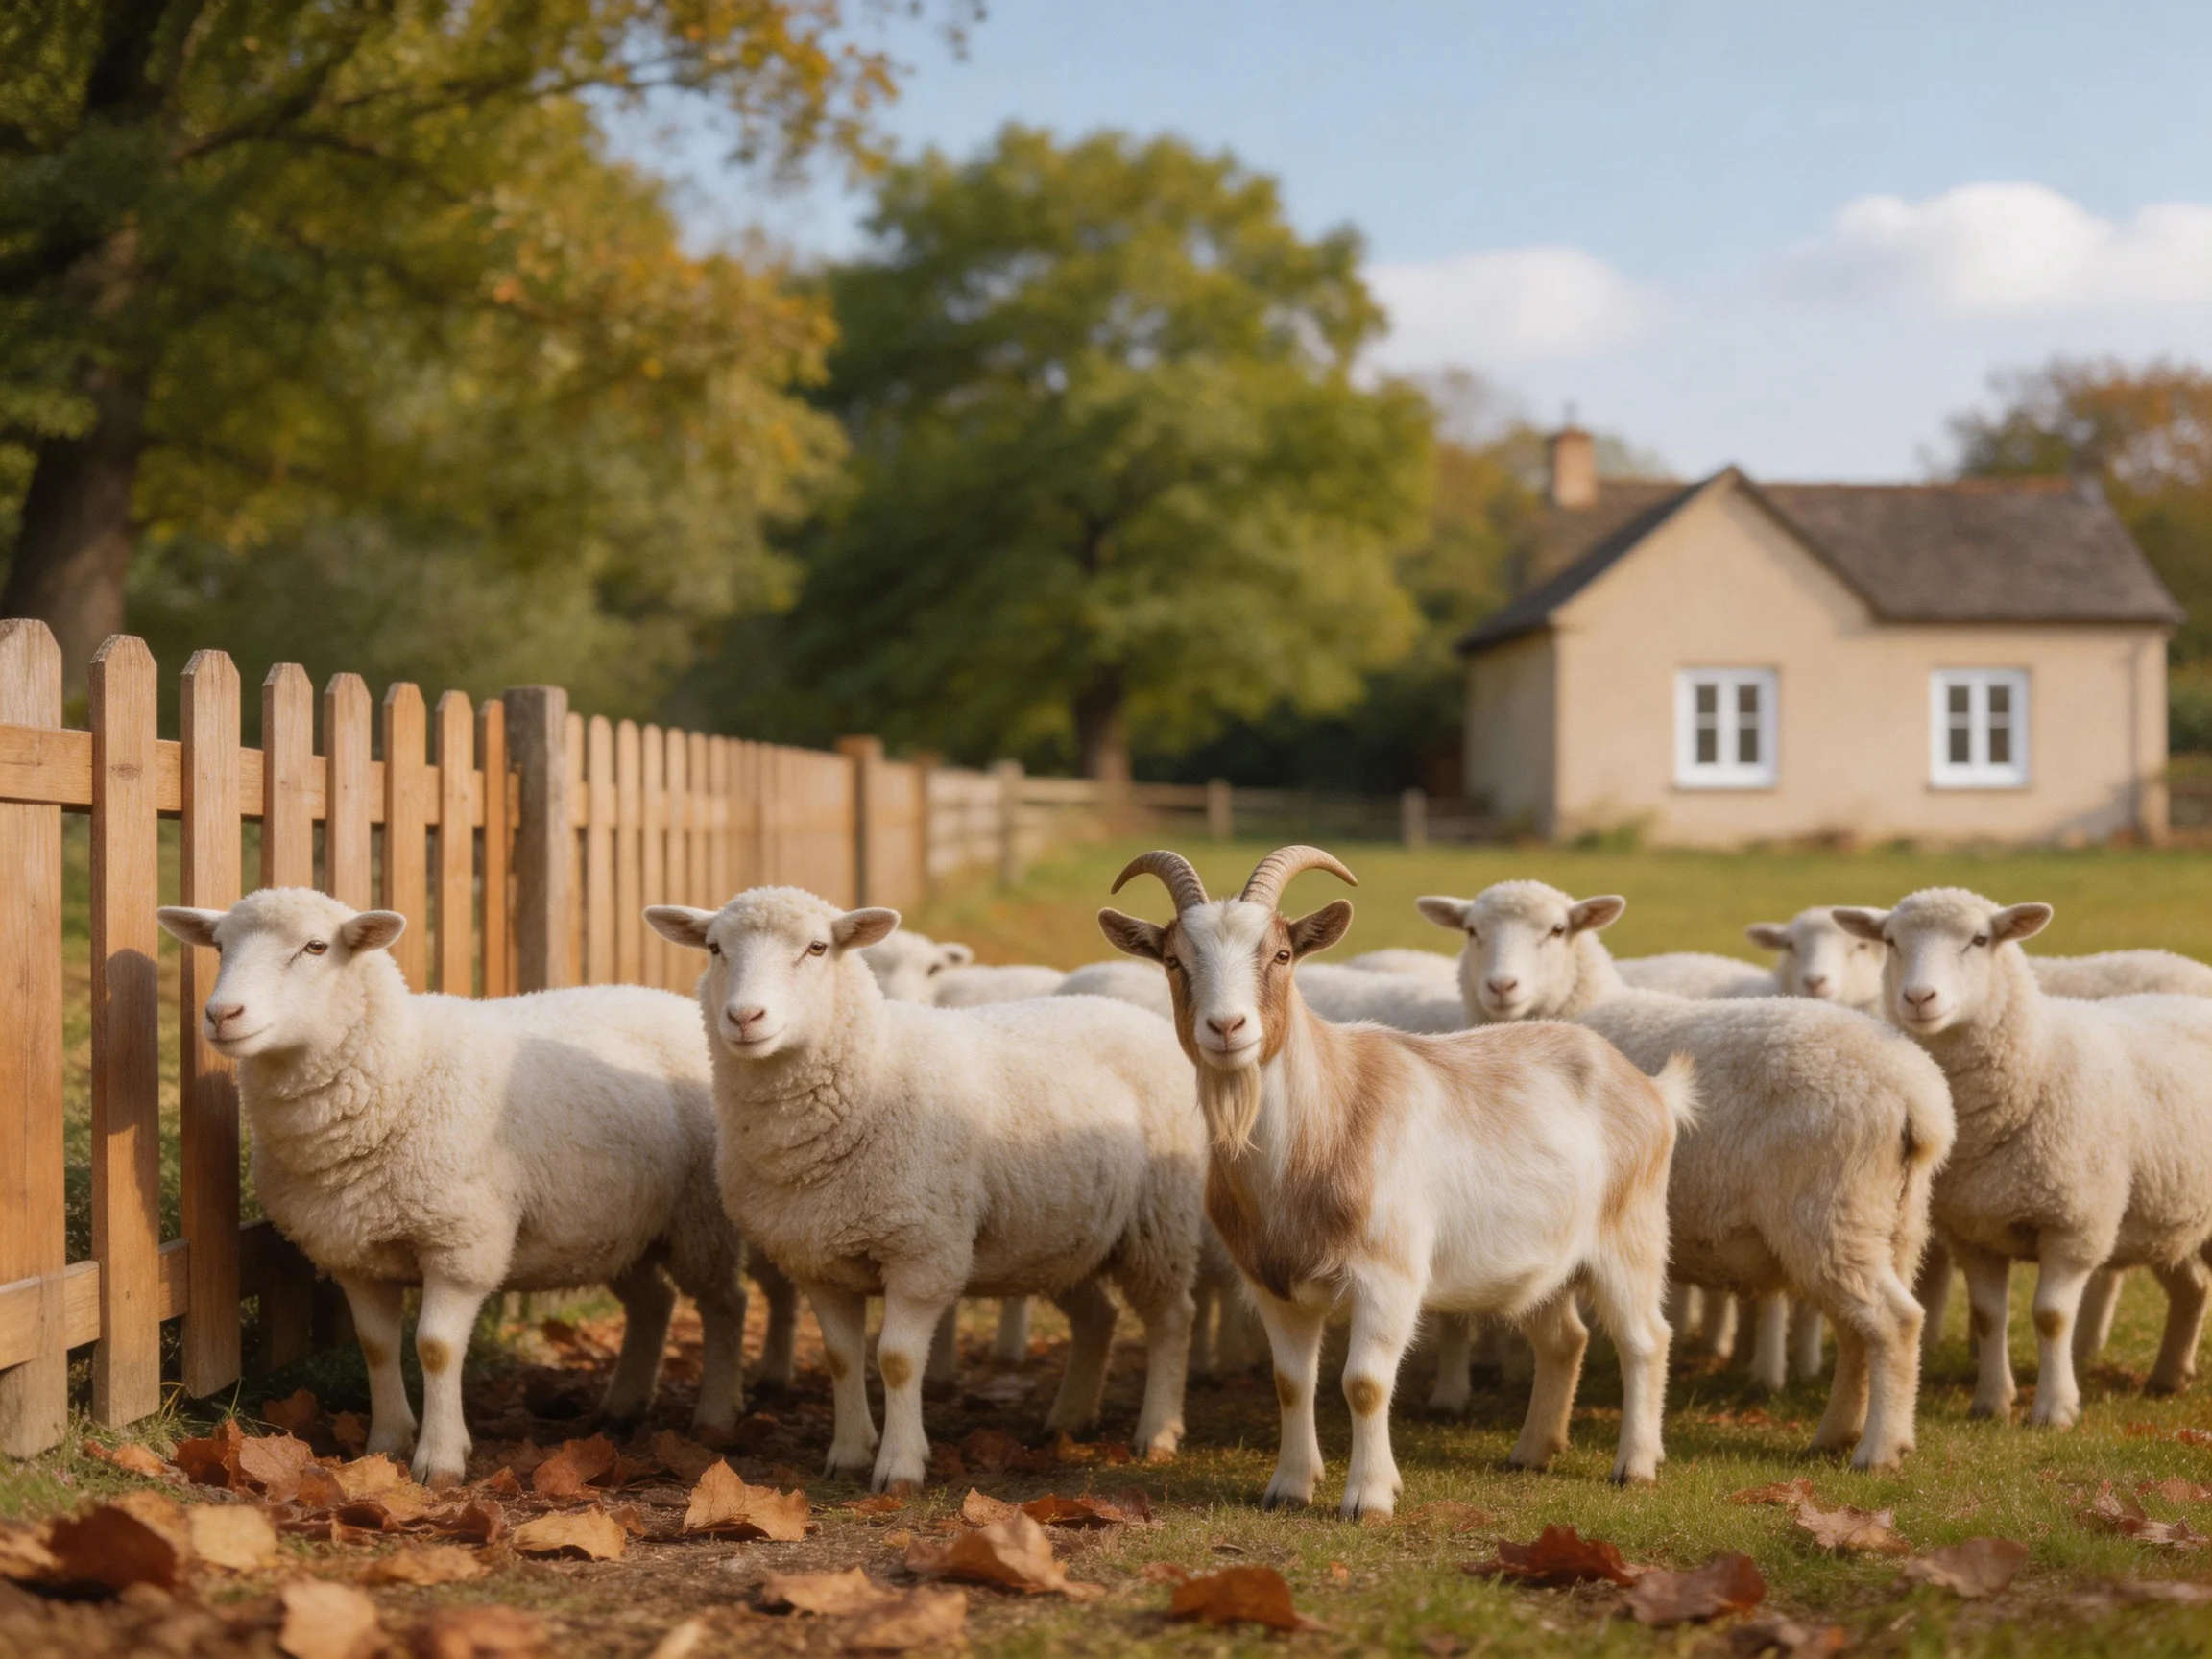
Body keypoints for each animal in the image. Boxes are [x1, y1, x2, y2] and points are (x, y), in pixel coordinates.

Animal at [154, 889, 796, 1485]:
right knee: (653, 1303)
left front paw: (439, 1459)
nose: (222, 1014)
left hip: (698, 1217)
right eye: (219, 947)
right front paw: (385, 1443)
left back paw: (715, 1414)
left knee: (724, 1303)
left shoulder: (460, 1241)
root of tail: (668, 1000)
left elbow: (435, 1347)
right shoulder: (353, 1250)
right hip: (616, 1224)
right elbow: (376, 1346)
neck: (401, 1069)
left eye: (315, 947)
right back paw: (621, 1407)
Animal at [646, 887, 1203, 1491]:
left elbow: (896, 1360)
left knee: (1173, 1318)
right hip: (1060, 1234)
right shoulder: (817, 1258)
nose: (745, 1017)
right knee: (1098, 1316)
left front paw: (899, 1466)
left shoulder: (922, 1251)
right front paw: (848, 1453)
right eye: (714, 947)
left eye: (817, 948)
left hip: (1160, 1221)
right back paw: (1069, 1418)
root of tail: (1130, 1011)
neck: (874, 1069)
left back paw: (1158, 1433)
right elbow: (842, 1357)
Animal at [1102, 847, 1688, 1513]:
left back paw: (1635, 1465)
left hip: (1631, 1235)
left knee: (1646, 1338)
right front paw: (1289, 1487)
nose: (1227, 1027)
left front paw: (1369, 1497)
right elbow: (1290, 1382)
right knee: (1564, 1338)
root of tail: (1652, 1089)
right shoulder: (1272, 1283)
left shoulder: (1388, 1276)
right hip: (1541, 1263)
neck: (1322, 1126)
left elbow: (1364, 1383)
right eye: (1174, 959)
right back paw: (1532, 1451)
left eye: (1281, 955)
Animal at [1424, 881, 1953, 1470]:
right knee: (1863, 1333)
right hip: (1889, 1220)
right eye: (1472, 931)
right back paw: (1844, 1433)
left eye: (1558, 930)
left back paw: (1877, 1450)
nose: (1501, 986)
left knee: (1894, 1323)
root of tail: (1918, 1094)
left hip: (1830, 1211)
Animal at [1833, 891, 2212, 1428]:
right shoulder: (1974, 1231)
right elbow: (1988, 1316)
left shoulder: (2075, 1227)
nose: (1919, 998)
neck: (2038, 1059)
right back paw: (2168, 1377)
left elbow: (2050, 1317)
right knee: (2193, 1289)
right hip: (2165, 1218)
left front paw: (2055, 1409)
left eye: (1979, 939)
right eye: (1890, 941)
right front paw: (1991, 1402)